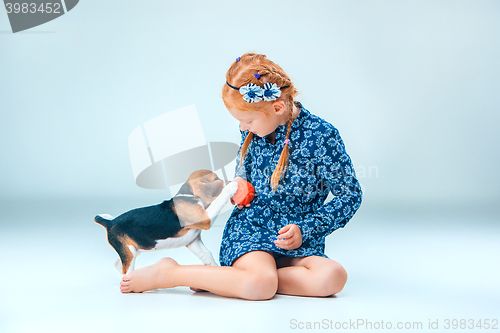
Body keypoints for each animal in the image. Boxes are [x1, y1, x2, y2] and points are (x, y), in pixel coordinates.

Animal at [97, 170, 240, 274]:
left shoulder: (193, 241)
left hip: (132, 249)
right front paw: (231, 187)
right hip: (129, 252)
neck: (189, 195)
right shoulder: (206, 218)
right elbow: (219, 199)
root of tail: (110, 222)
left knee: (118, 264)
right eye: (216, 179)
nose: (230, 180)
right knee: (126, 270)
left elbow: (207, 254)